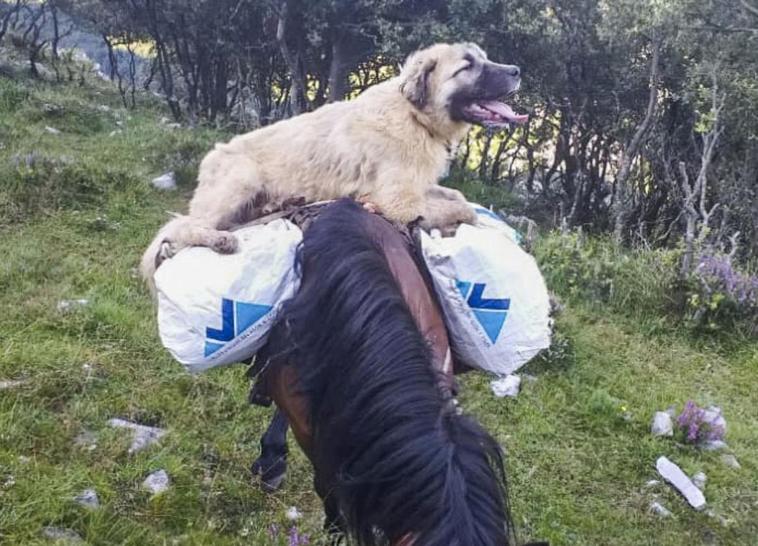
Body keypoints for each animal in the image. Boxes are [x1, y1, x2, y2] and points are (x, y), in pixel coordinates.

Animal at [140, 42, 524, 282]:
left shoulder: (420, 186)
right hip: (240, 179)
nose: (516, 70)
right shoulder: (399, 203)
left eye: (484, 58)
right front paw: (456, 222)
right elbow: (465, 209)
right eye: (467, 66)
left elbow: (457, 197)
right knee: (179, 228)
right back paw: (219, 239)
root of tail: (211, 158)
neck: (416, 117)